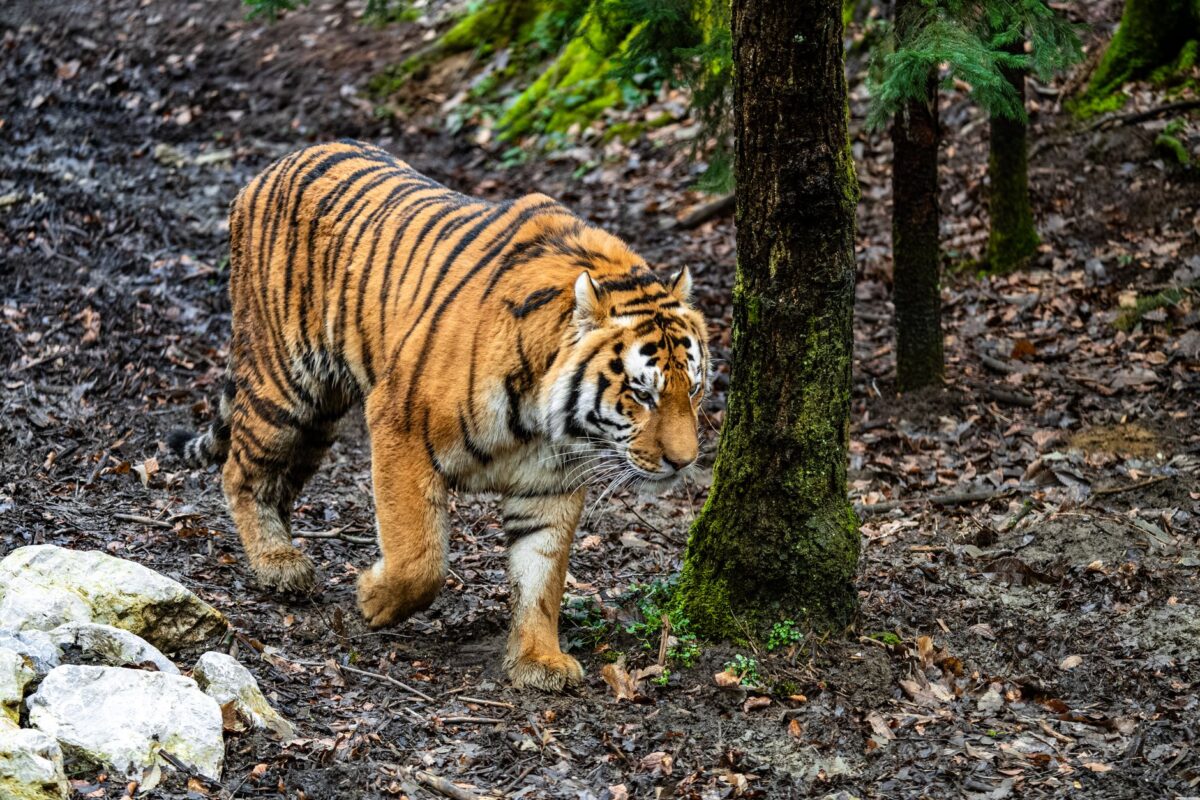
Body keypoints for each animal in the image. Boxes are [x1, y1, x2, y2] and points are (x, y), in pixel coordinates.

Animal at [168, 140, 709, 691]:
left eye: (695, 389)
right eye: (642, 393)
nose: (685, 462)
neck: (542, 420)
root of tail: (273, 167)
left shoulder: (550, 483)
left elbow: (542, 576)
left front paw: (538, 659)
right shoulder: (399, 425)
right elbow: (419, 557)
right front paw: (374, 599)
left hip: (321, 414)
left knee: (281, 479)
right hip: (284, 381)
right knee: (239, 470)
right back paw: (277, 565)